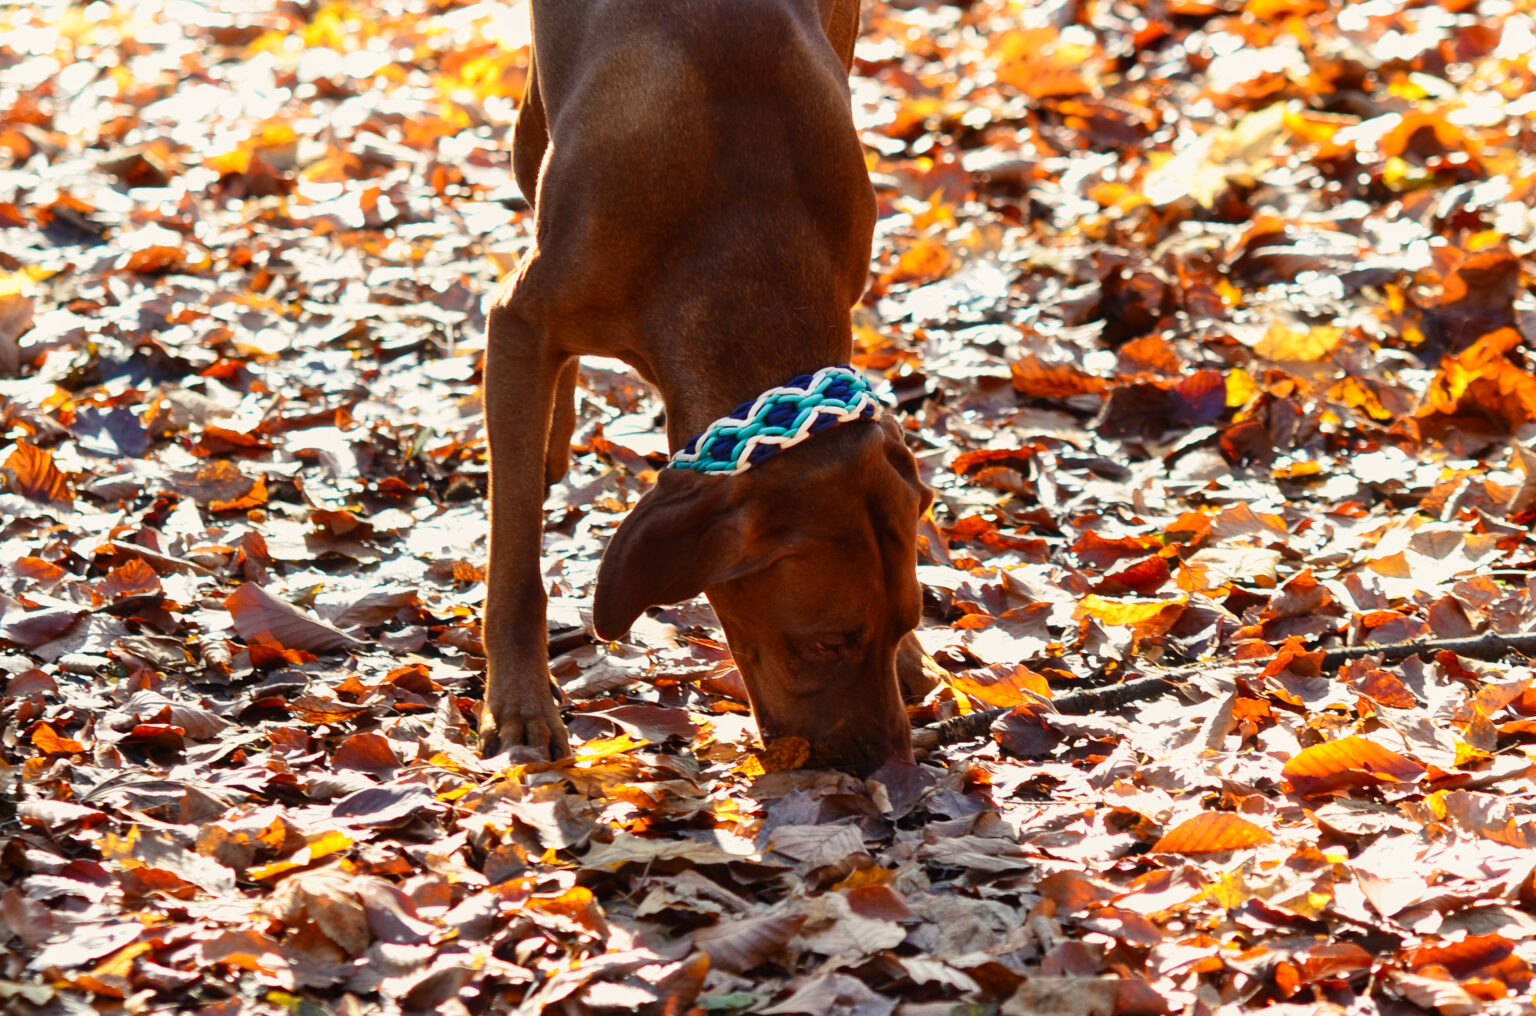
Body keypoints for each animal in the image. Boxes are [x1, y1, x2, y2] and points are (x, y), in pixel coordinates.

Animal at [482, 0, 933, 768]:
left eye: (906, 619)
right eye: (826, 643)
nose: (889, 766)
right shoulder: (518, 322)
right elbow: (514, 562)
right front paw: (520, 705)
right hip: (530, 132)